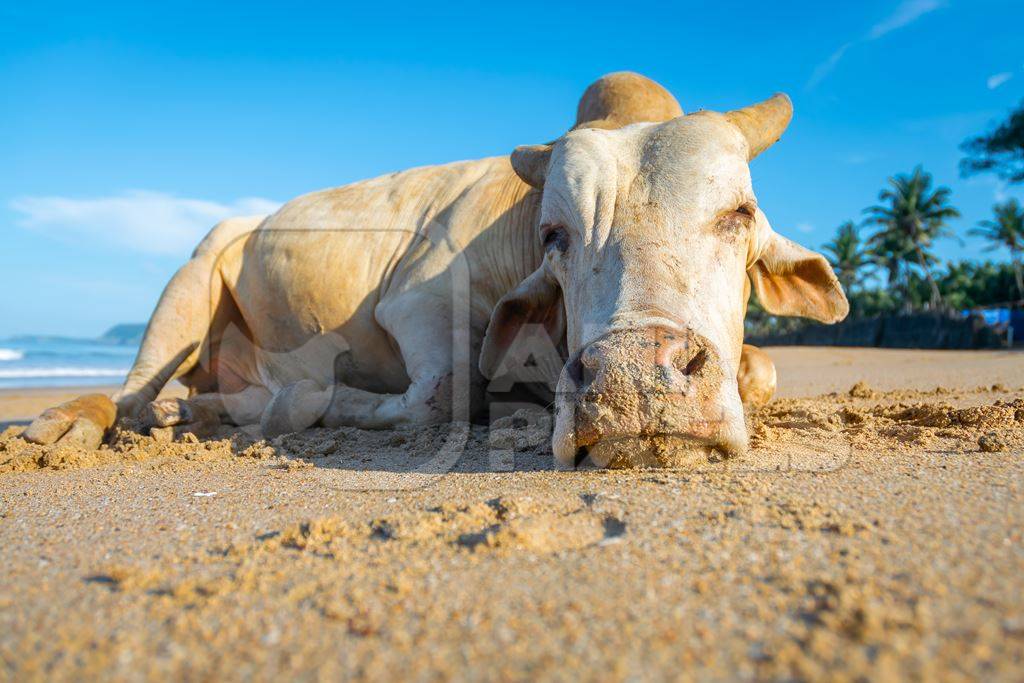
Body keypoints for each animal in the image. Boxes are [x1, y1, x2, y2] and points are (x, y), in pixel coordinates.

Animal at [24, 74, 847, 471]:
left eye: (740, 212)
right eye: (554, 235)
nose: (632, 384)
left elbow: (764, 369)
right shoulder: (416, 304)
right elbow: (441, 396)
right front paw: (300, 400)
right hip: (194, 272)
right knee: (132, 394)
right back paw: (83, 419)